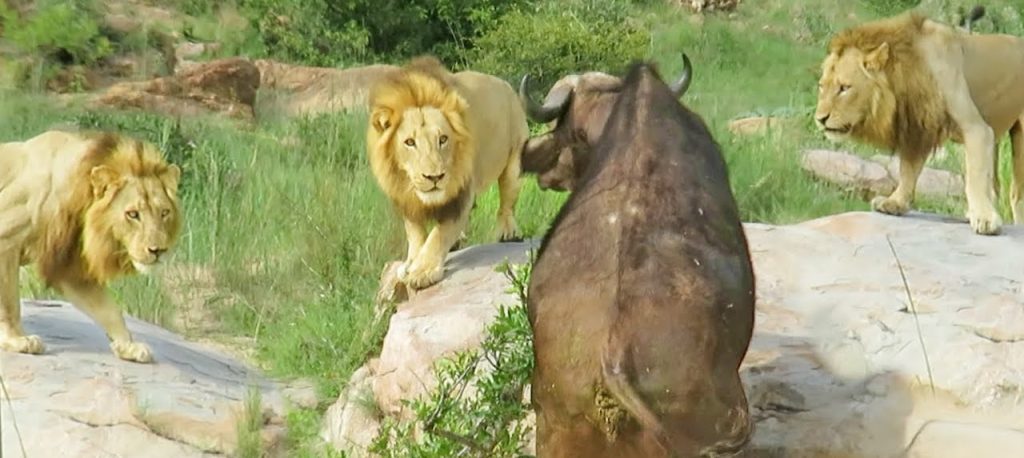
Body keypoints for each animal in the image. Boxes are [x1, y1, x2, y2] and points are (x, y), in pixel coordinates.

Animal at [0, 131, 182, 364]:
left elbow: (109, 310)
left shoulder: (69, 267)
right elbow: (9, 304)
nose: (158, 250)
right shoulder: (6, 241)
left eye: (164, 212)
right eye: (133, 214)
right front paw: (17, 340)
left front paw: (128, 346)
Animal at [815, 8, 1024, 234]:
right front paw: (894, 203)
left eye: (844, 88)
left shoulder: (975, 127)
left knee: (1016, 193)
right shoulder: (918, 127)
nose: (820, 119)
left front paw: (984, 219)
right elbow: (908, 171)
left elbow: (974, 176)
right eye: (822, 86)